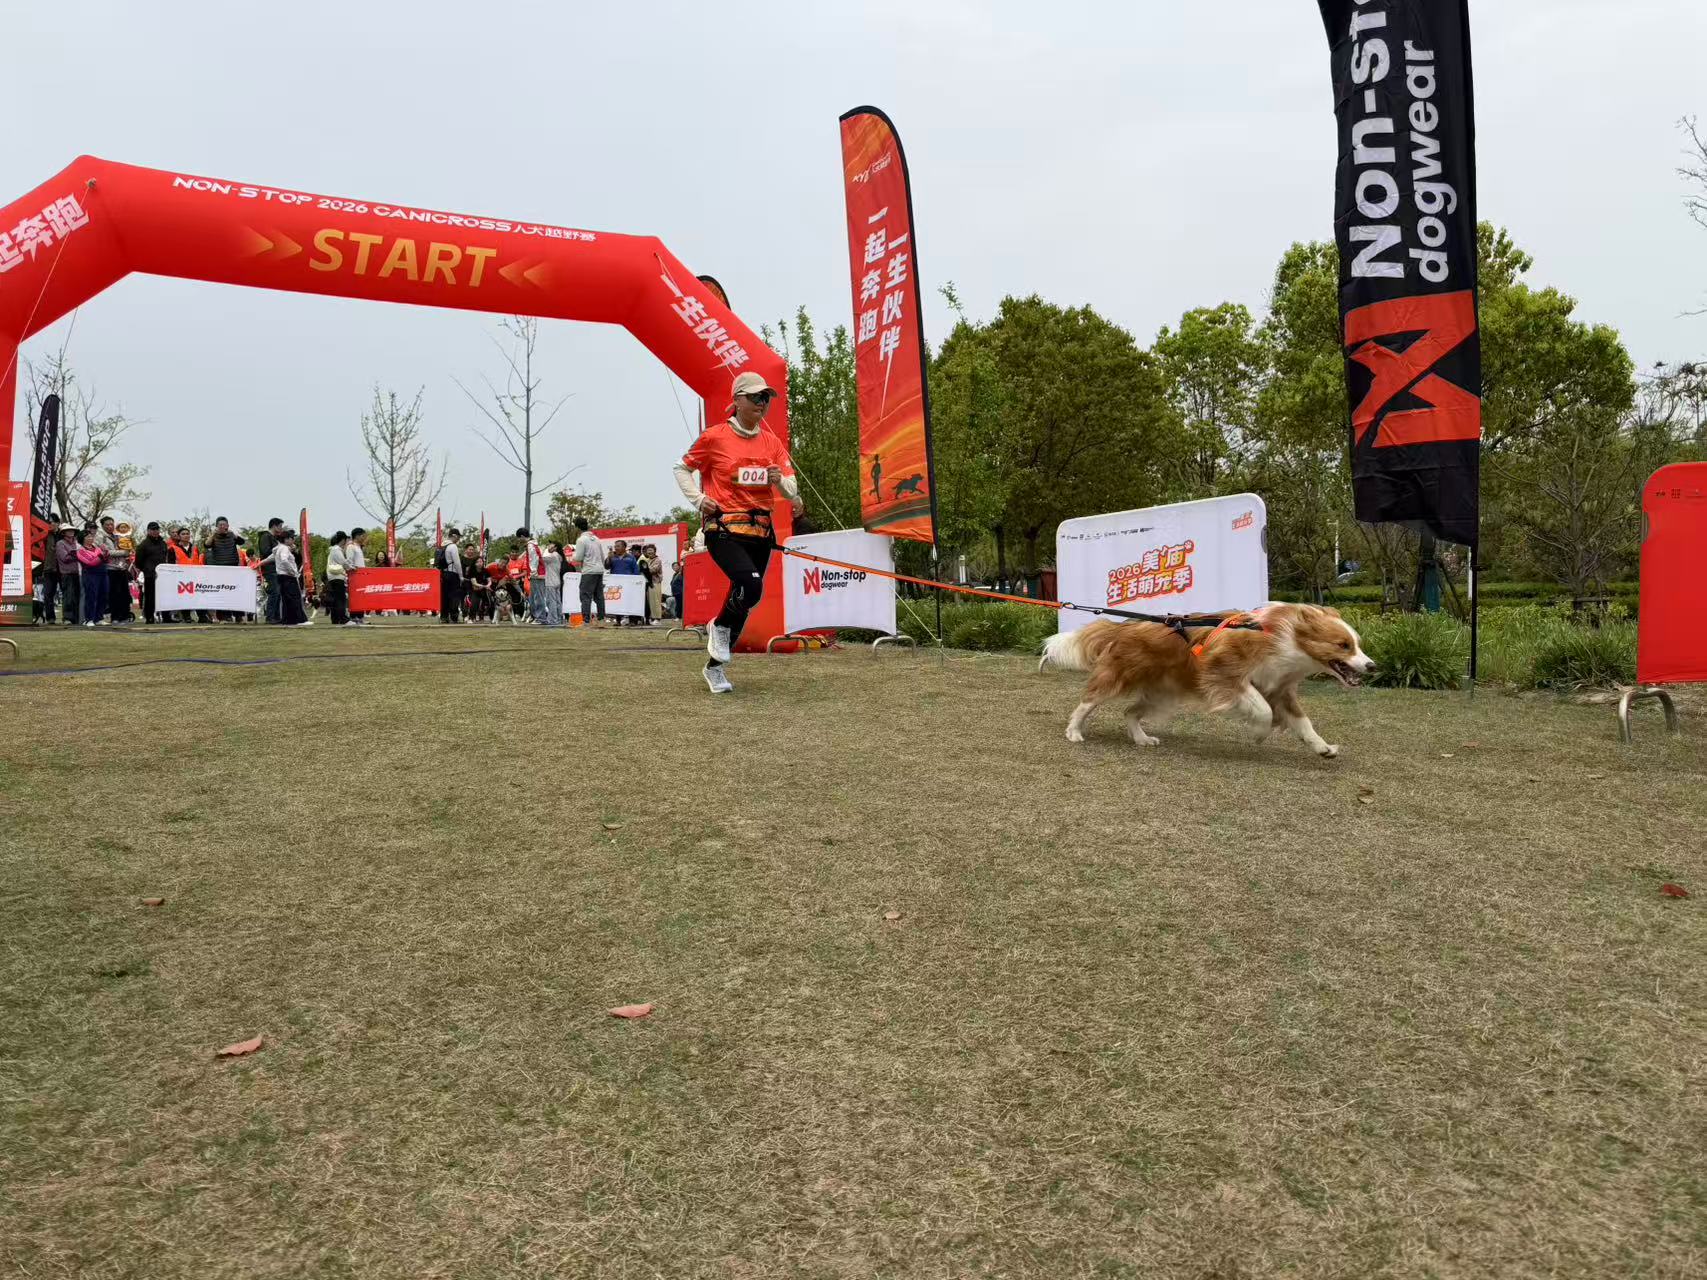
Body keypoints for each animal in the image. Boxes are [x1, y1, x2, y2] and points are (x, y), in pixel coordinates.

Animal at [1039, 604, 1375, 758]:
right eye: (1343, 645)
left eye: (1357, 645)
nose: (1371, 666)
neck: (1284, 641)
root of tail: (1124, 627)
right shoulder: (1226, 675)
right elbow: (1263, 710)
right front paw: (1259, 733)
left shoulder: (1281, 690)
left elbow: (1303, 723)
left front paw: (1323, 748)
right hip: (1118, 678)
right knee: (1087, 702)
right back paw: (1074, 732)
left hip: (1163, 693)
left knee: (1129, 712)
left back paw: (1142, 739)